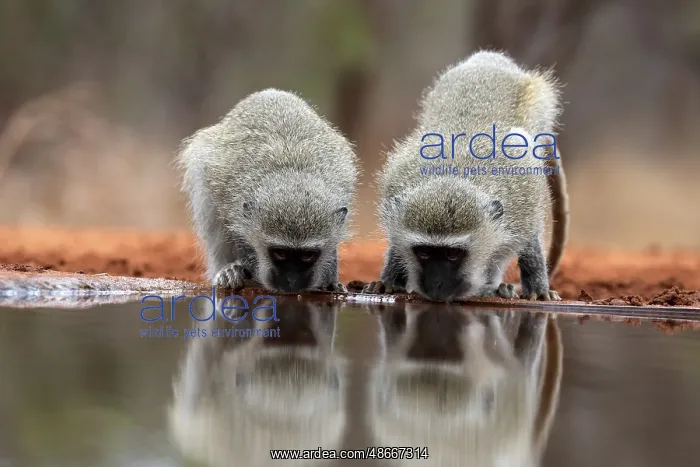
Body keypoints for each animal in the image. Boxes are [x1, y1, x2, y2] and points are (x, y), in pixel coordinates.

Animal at [176, 89, 359, 294]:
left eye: (307, 255)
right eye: (279, 252)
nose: (291, 282)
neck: (292, 172)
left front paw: (330, 279)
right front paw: (240, 266)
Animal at [363, 50, 569, 302]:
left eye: (453, 254)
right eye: (424, 252)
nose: (436, 285)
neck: (454, 176)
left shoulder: (523, 201)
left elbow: (529, 241)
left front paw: (538, 287)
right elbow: (396, 241)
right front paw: (390, 280)